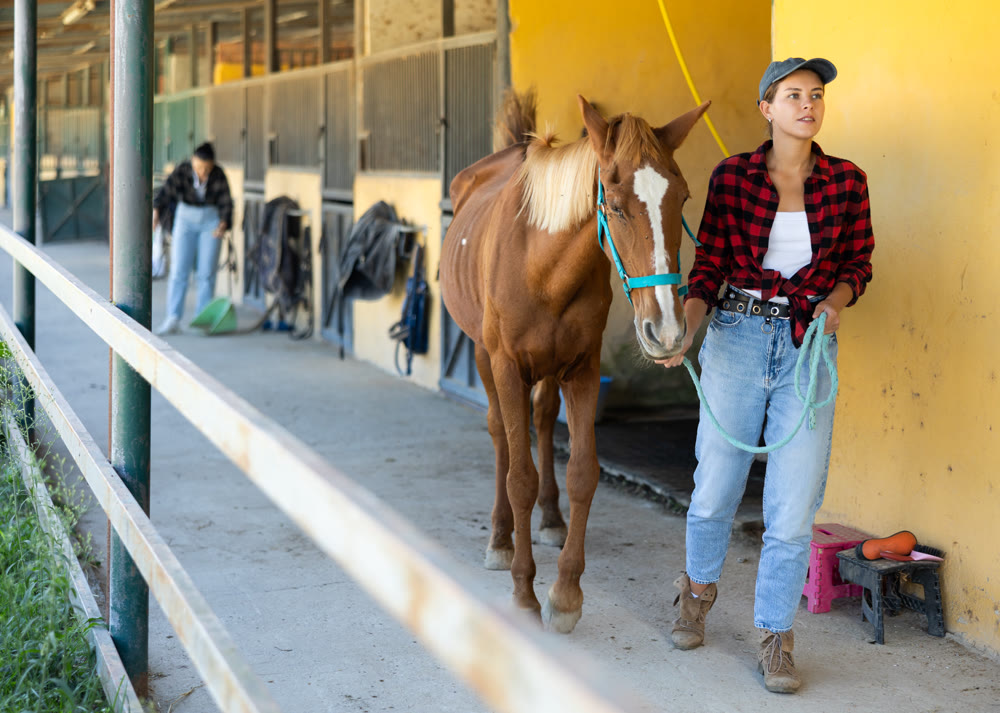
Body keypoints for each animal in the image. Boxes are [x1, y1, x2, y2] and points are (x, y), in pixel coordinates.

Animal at [440, 91, 709, 632]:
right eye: (616, 204)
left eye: (683, 197)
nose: (668, 331)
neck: (541, 266)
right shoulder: (506, 367)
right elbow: (519, 476)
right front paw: (524, 592)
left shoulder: (581, 370)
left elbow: (583, 473)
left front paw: (564, 593)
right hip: (483, 354)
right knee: (500, 434)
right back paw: (500, 537)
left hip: (548, 370)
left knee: (544, 422)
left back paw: (550, 520)